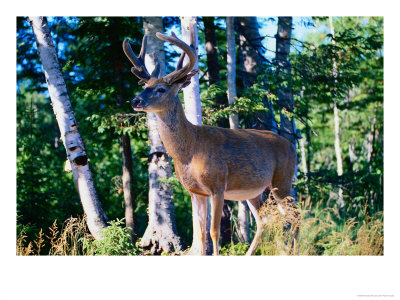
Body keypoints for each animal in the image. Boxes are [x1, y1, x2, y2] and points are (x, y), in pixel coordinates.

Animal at [123, 23, 298, 255]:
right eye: (144, 86)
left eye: (161, 89)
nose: (135, 100)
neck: (190, 150)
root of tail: (291, 145)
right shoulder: (195, 191)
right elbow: (201, 234)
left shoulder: (217, 184)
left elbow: (214, 232)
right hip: (256, 190)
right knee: (265, 220)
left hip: (282, 179)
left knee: (295, 215)